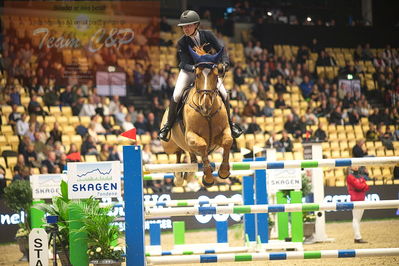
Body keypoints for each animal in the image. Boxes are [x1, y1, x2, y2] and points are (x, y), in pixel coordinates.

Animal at [160, 45, 233, 187]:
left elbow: (228, 141)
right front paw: (208, 178)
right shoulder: (191, 135)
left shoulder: (224, 131)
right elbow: (203, 146)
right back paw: (178, 178)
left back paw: (188, 175)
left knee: (190, 155)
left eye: (216, 75)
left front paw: (223, 172)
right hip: (168, 146)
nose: (205, 105)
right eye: (197, 75)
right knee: (177, 153)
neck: (207, 114)